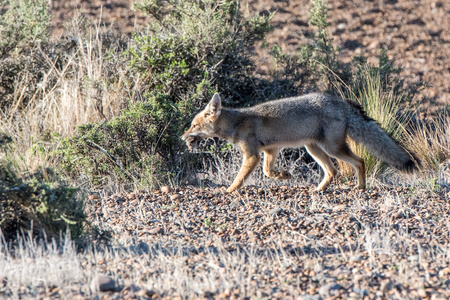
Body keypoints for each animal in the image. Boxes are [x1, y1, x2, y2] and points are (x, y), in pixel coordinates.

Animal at [180, 93, 418, 192]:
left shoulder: (253, 155)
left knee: (359, 161)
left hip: (332, 148)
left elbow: (240, 178)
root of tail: (340, 102)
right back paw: (318, 190)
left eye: (192, 126)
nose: (182, 138)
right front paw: (283, 175)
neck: (238, 122)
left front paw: (229, 190)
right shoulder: (271, 149)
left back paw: (360, 187)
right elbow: (267, 171)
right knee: (332, 171)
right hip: (313, 148)